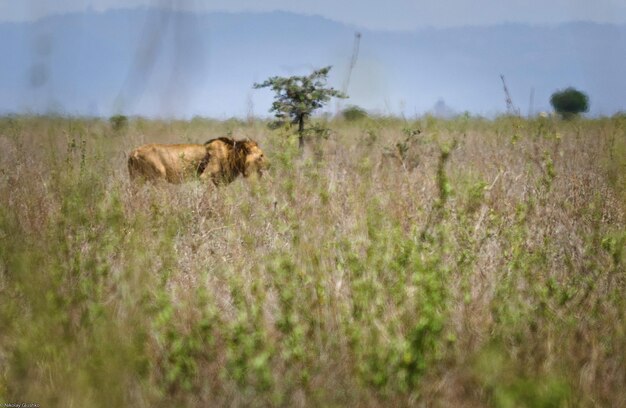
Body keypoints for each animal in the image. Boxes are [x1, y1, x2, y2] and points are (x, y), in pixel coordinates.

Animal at [128, 137, 266, 185]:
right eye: (261, 156)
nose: (268, 165)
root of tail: (134, 152)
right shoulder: (204, 177)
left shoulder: (219, 181)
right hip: (159, 177)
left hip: (136, 180)